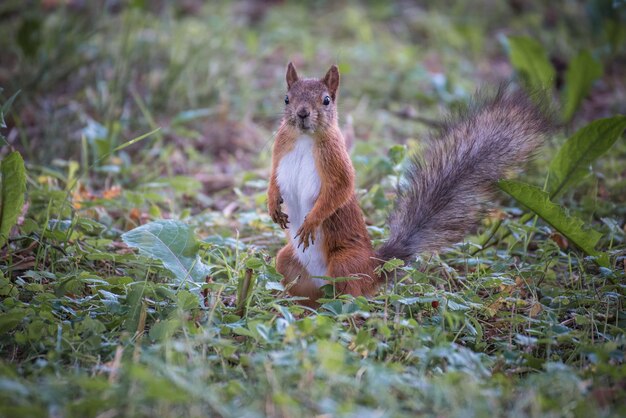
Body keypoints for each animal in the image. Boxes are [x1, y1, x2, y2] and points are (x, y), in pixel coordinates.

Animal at [268, 62, 544, 306]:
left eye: (326, 100)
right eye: (286, 99)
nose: (302, 113)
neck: (304, 138)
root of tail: (373, 268)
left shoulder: (337, 160)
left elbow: (341, 189)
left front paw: (311, 222)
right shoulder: (280, 149)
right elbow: (273, 179)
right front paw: (272, 205)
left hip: (345, 263)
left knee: (352, 297)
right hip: (287, 260)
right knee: (309, 295)